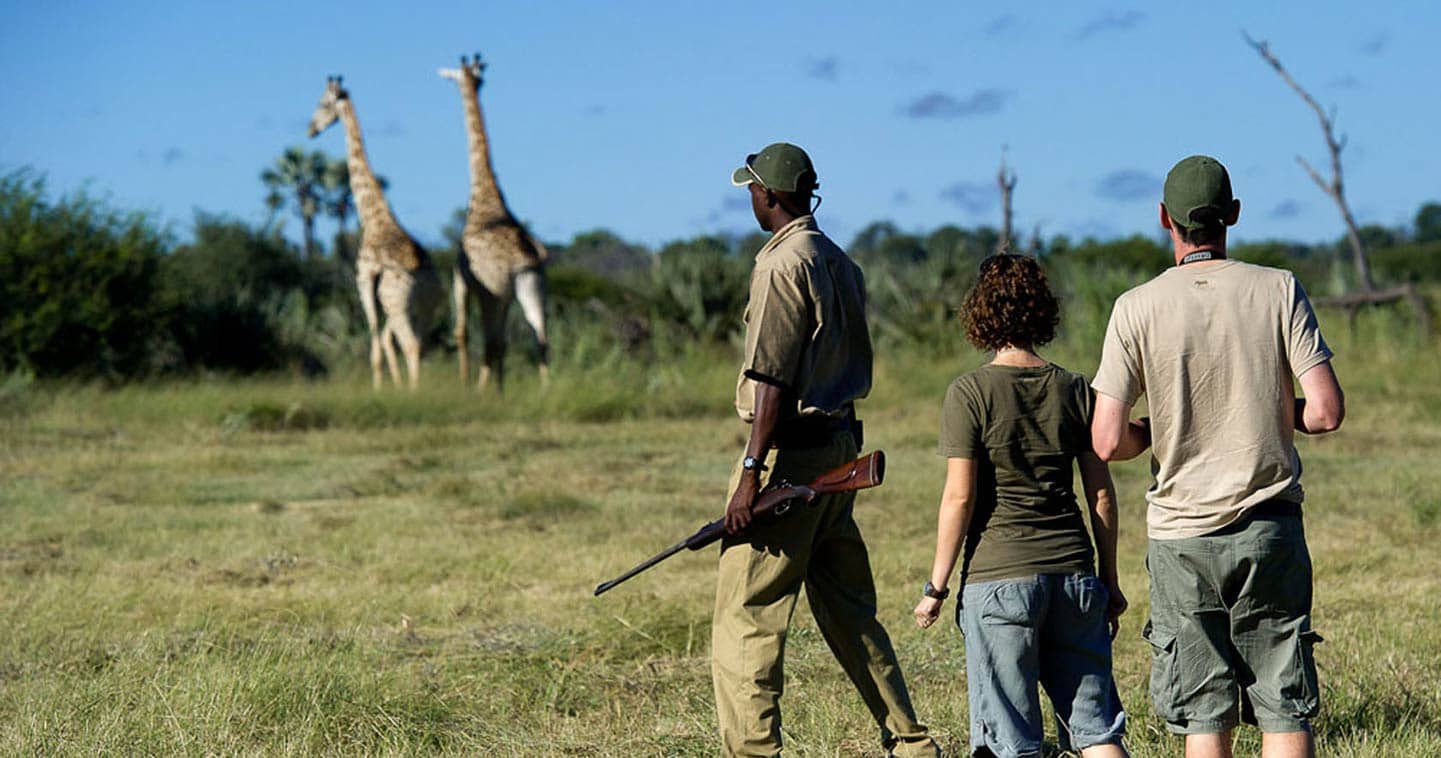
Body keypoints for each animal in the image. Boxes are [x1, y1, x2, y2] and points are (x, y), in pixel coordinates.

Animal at [304, 75, 438, 391]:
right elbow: (384, 340)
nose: (310, 130)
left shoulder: (363, 280)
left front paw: (378, 389)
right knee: (418, 344)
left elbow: (374, 339)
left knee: (409, 344)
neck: (374, 218)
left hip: (397, 304)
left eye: (322, 103)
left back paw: (414, 393)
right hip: (429, 306)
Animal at [435, 53, 547, 391]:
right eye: (479, 78)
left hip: (493, 293)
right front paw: (500, 389)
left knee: (491, 340)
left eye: (456, 77)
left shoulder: (461, 278)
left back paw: (480, 390)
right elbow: (505, 344)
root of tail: (524, 258)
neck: (486, 197)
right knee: (540, 338)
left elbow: (460, 331)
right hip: (531, 287)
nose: (475, 84)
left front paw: (467, 385)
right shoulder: (506, 296)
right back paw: (545, 390)